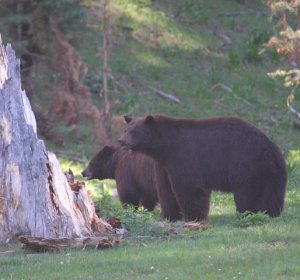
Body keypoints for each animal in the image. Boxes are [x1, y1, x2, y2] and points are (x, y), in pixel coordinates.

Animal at [118, 115, 288, 220]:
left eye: (134, 131)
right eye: (125, 130)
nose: (121, 140)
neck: (165, 146)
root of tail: (270, 146)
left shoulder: (183, 155)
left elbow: (189, 187)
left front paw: (192, 216)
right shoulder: (163, 165)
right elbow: (166, 190)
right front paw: (169, 215)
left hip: (246, 162)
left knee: (247, 191)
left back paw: (247, 213)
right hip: (273, 170)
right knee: (273, 193)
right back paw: (272, 212)